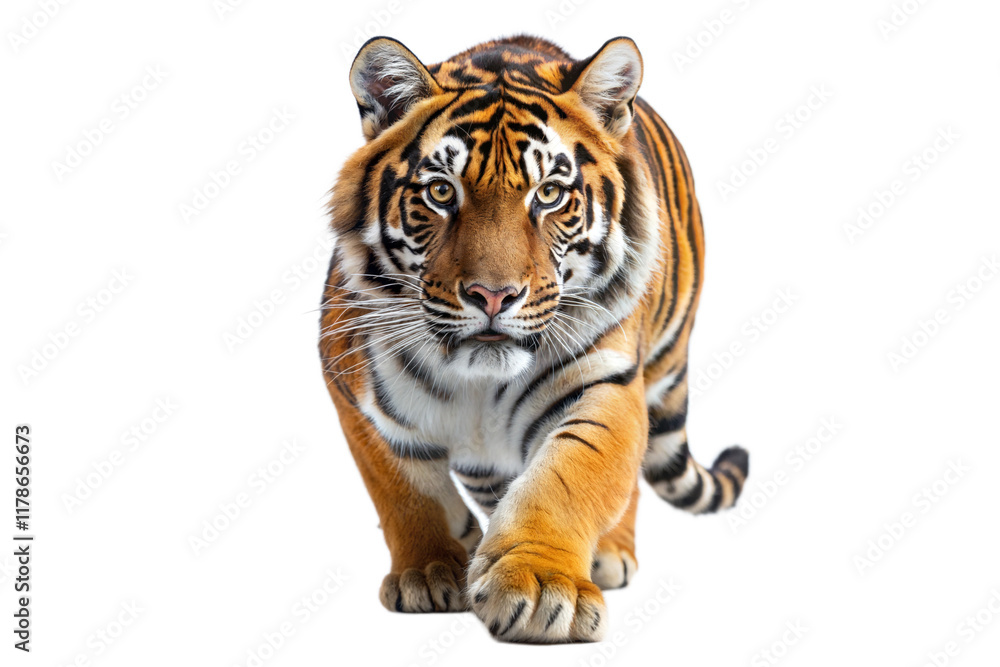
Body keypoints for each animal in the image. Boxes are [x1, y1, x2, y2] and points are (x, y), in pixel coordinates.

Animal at [319, 34, 750, 643]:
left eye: (548, 194)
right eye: (440, 191)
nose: (492, 295)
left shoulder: (605, 382)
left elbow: (567, 479)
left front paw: (543, 587)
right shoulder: (350, 383)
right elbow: (406, 492)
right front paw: (429, 571)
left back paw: (607, 555)